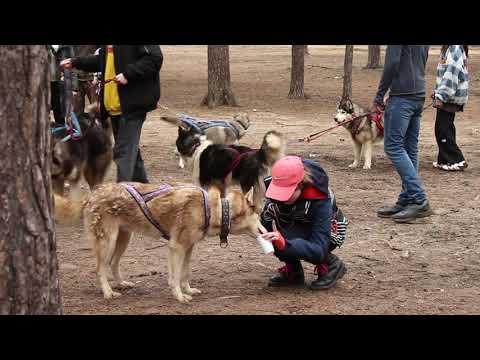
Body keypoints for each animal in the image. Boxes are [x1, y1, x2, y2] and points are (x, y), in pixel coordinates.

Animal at [55, 181, 266, 302]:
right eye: (260, 214)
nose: (267, 228)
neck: (216, 210)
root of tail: (91, 195)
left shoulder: (188, 248)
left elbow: (184, 274)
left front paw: (188, 290)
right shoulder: (177, 247)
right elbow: (175, 277)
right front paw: (179, 296)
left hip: (123, 239)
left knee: (113, 264)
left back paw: (122, 283)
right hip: (108, 241)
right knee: (100, 268)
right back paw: (108, 293)